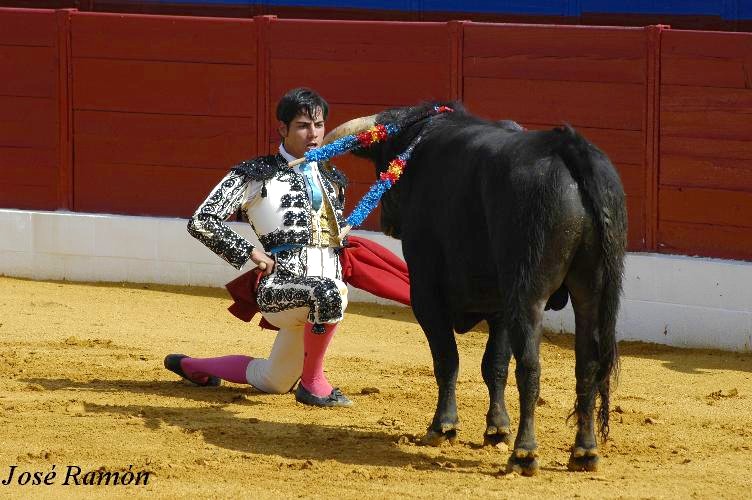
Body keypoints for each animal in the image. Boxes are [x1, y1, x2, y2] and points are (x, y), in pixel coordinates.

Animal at [332, 102, 624, 476]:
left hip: (528, 293)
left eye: (386, 166)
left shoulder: (426, 292)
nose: (387, 222)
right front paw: (496, 428)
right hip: (591, 288)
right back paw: (584, 451)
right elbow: (494, 364)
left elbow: (447, 358)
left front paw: (443, 426)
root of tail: (568, 148)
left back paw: (524, 453)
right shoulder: (500, 303)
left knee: (530, 366)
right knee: (586, 363)